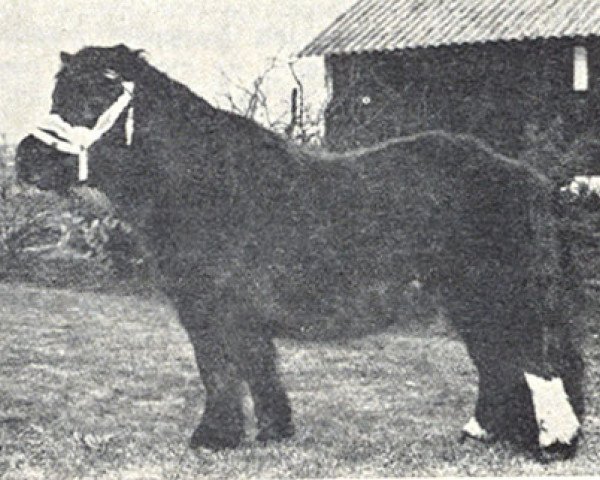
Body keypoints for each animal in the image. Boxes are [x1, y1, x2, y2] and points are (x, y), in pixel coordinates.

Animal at [15, 46, 584, 462]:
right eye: (58, 93)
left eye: (95, 96)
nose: (26, 159)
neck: (205, 180)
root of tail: (530, 179)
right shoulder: (237, 314)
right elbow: (257, 367)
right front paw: (273, 433)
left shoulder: (210, 308)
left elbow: (219, 370)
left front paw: (213, 439)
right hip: (469, 300)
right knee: (496, 361)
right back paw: (483, 434)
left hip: (501, 294)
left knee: (532, 359)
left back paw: (552, 445)